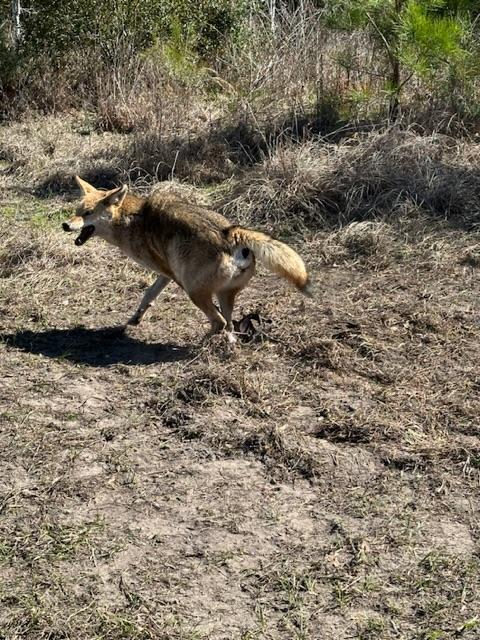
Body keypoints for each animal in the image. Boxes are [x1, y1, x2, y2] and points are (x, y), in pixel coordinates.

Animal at [62, 176, 311, 343]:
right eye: (76, 211)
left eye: (87, 213)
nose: (65, 225)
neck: (130, 220)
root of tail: (229, 233)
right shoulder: (165, 274)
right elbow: (147, 296)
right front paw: (134, 319)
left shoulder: (175, 278)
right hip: (223, 295)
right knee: (229, 324)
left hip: (195, 293)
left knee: (219, 322)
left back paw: (201, 343)